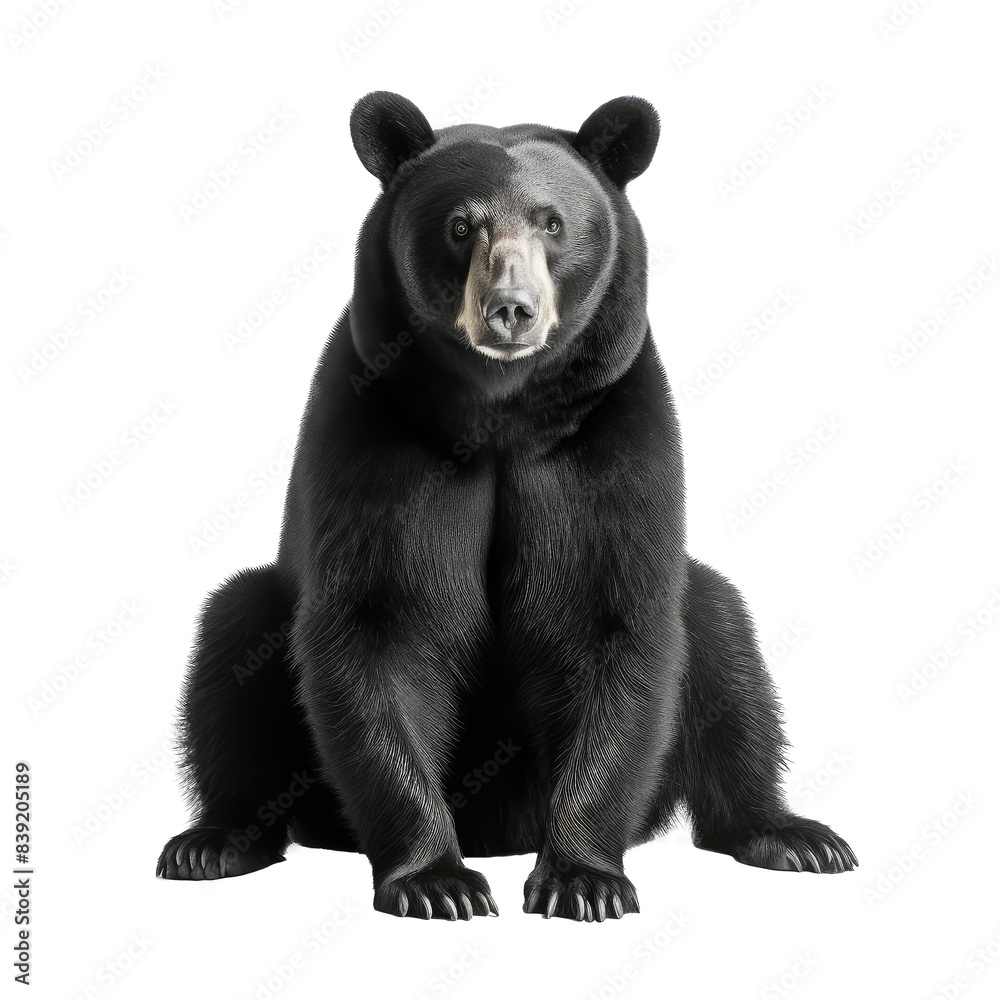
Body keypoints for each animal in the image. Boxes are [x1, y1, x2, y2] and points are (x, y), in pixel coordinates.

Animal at [156, 91, 856, 921]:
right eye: (461, 226)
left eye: (552, 222)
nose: (511, 309)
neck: (499, 418)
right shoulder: (379, 437)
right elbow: (379, 624)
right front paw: (437, 881)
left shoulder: (603, 445)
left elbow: (610, 623)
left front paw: (583, 878)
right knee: (230, 648)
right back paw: (213, 842)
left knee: (727, 646)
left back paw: (792, 835)